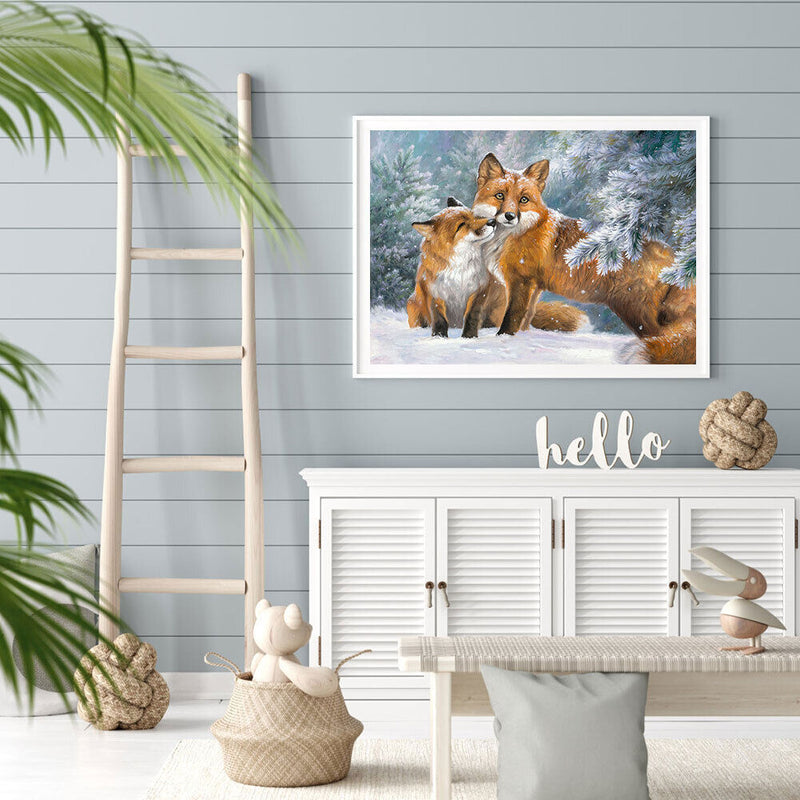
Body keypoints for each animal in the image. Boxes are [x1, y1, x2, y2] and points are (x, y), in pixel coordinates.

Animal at [471, 153, 697, 363]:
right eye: (500, 196)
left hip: (636, 311)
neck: (509, 236)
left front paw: (502, 340)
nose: (510, 216)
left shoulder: (521, 282)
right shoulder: (534, 287)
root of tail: (675, 257)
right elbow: (525, 320)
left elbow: (510, 319)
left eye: (523, 200)